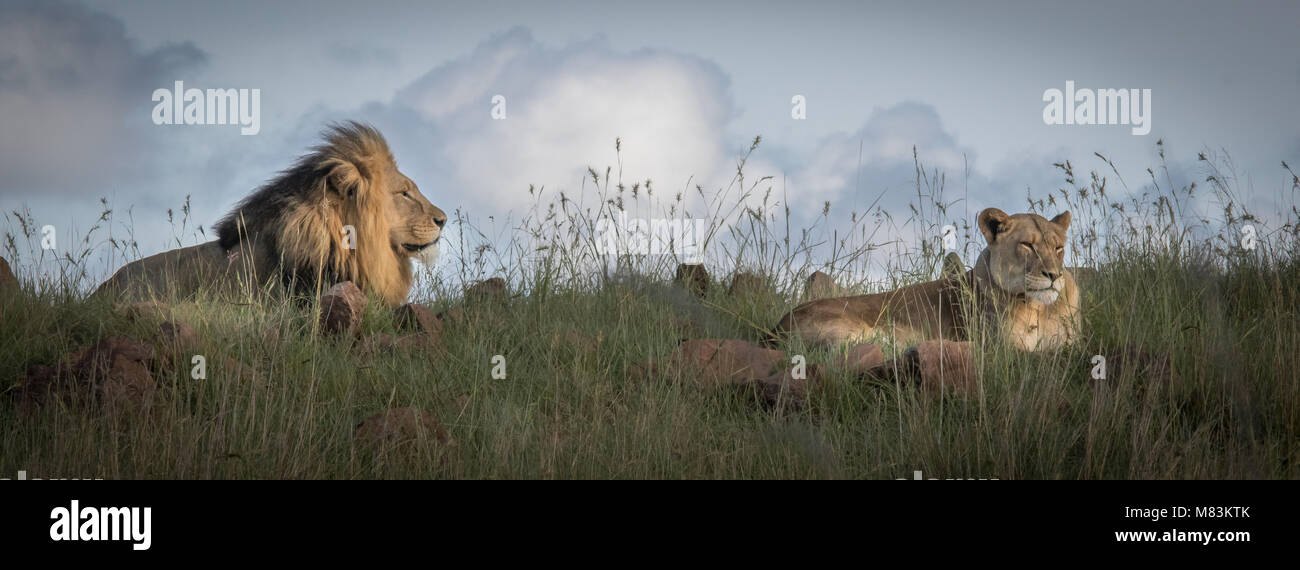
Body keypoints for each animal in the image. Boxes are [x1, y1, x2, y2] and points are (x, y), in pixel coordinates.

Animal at [774, 209, 1081, 351]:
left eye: (1058, 248)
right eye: (1027, 245)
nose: (1054, 275)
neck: (1041, 308)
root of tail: (776, 327)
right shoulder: (1003, 348)